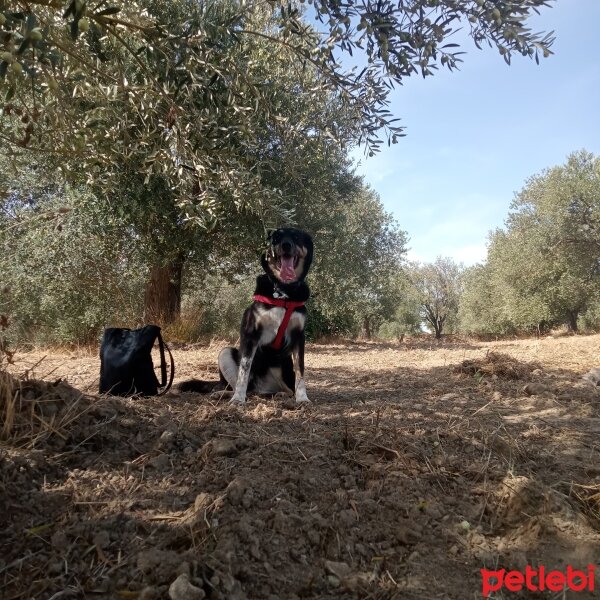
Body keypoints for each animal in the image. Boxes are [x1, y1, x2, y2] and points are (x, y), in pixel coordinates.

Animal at [178, 227, 314, 406]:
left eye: (296, 237)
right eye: (276, 238)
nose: (286, 245)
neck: (283, 293)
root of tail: (260, 389)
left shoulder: (299, 337)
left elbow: (300, 371)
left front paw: (303, 398)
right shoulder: (251, 334)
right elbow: (244, 370)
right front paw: (237, 399)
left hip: (283, 371)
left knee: (282, 390)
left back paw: (280, 395)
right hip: (226, 352)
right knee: (242, 386)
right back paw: (226, 393)